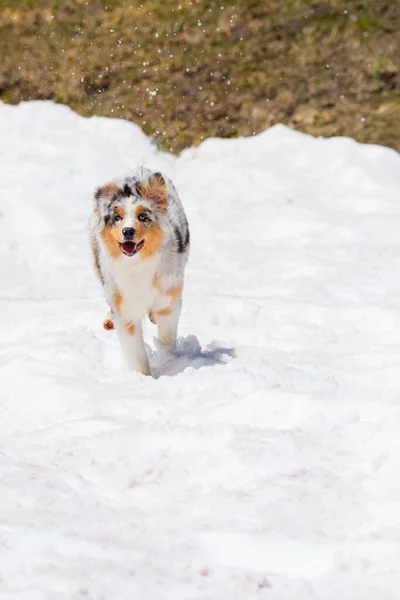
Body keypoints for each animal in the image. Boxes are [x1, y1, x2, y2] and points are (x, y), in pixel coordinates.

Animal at [90, 168, 190, 376]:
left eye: (143, 217)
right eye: (117, 217)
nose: (128, 231)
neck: (138, 264)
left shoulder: (169, 299)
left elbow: (166, 339)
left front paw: (168, 363)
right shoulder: (125, 307)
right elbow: (135, 353)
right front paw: (143, 377)